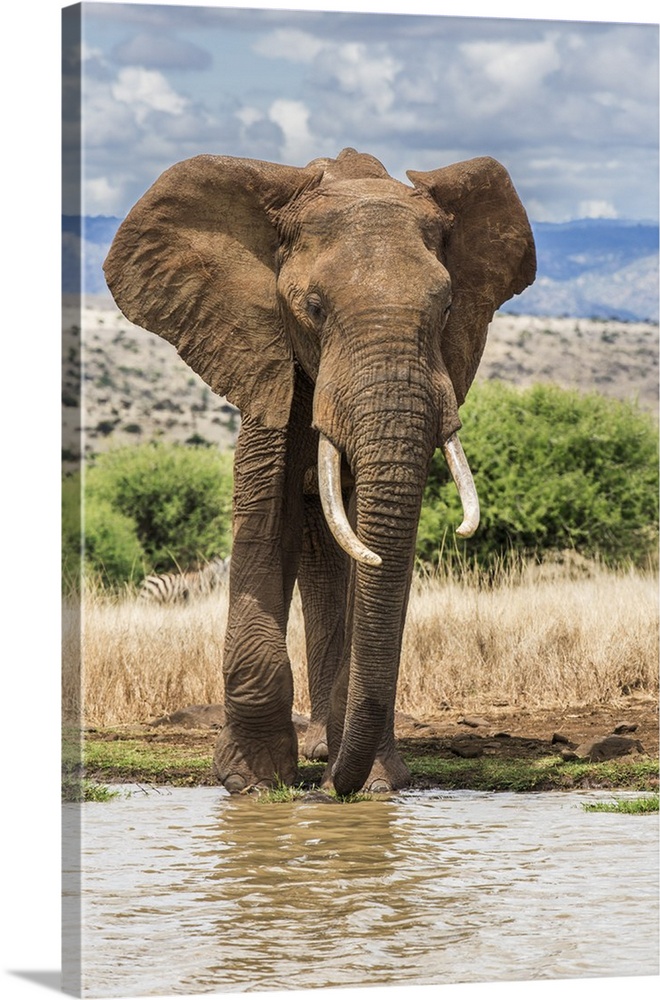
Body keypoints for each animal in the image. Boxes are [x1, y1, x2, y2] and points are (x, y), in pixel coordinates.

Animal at [103, 145, 536, 792]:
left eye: (447, 308)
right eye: (312, 308)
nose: (338, 791)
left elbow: (372, 563)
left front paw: (376, 784)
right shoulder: (265, 366)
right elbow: (266, 523)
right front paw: (253, 783)